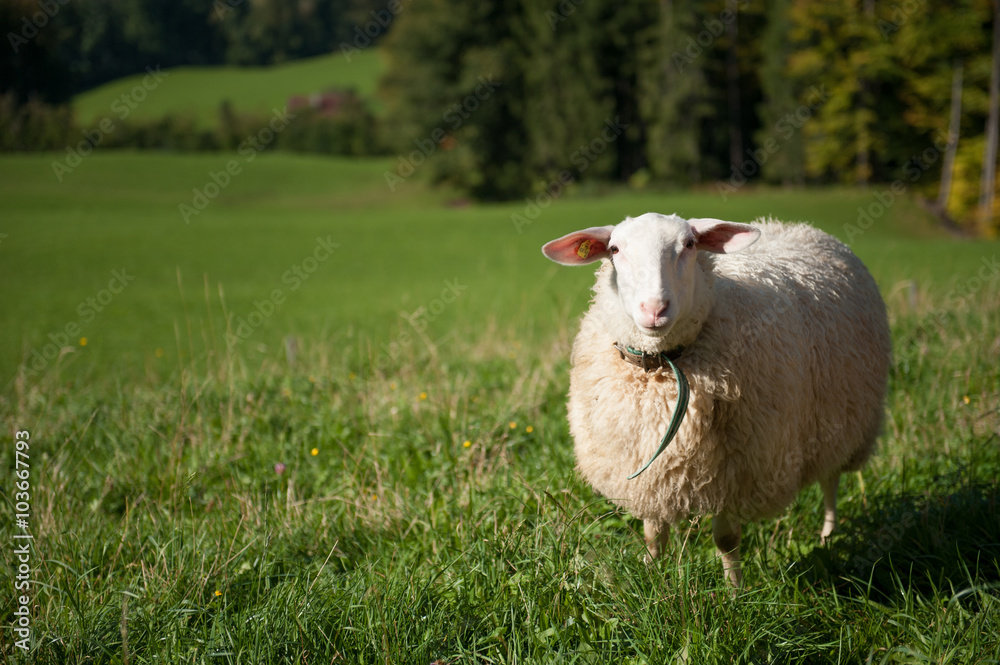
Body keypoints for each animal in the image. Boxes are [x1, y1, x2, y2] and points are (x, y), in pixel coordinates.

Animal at [541, 213, 891, 586]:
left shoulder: (733, 468)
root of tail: (797, 226)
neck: (663, 367)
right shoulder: (646, 468)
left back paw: (828, 535)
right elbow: (654, 534)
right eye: (615, 249)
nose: (654, 309)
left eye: (689, 244)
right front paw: (651, 574)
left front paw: (735, 590)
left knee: (831, 480)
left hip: (846, 419)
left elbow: (726, 539)